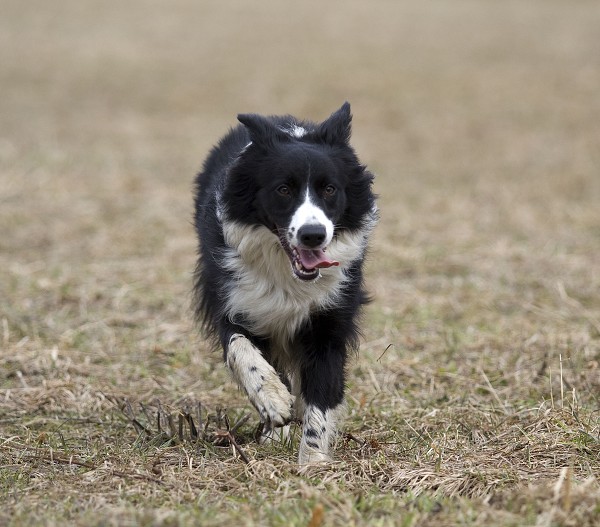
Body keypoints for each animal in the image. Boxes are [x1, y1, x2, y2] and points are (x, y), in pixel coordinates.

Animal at [195, 102, 378, 462]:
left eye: (329, 189)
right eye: (283, 189)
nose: (313, 235)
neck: (287, 269)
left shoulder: (330, 313)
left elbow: (323, 388)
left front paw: (313, 462)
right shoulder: (234, 294)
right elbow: (239, 346)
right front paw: (274, 401)